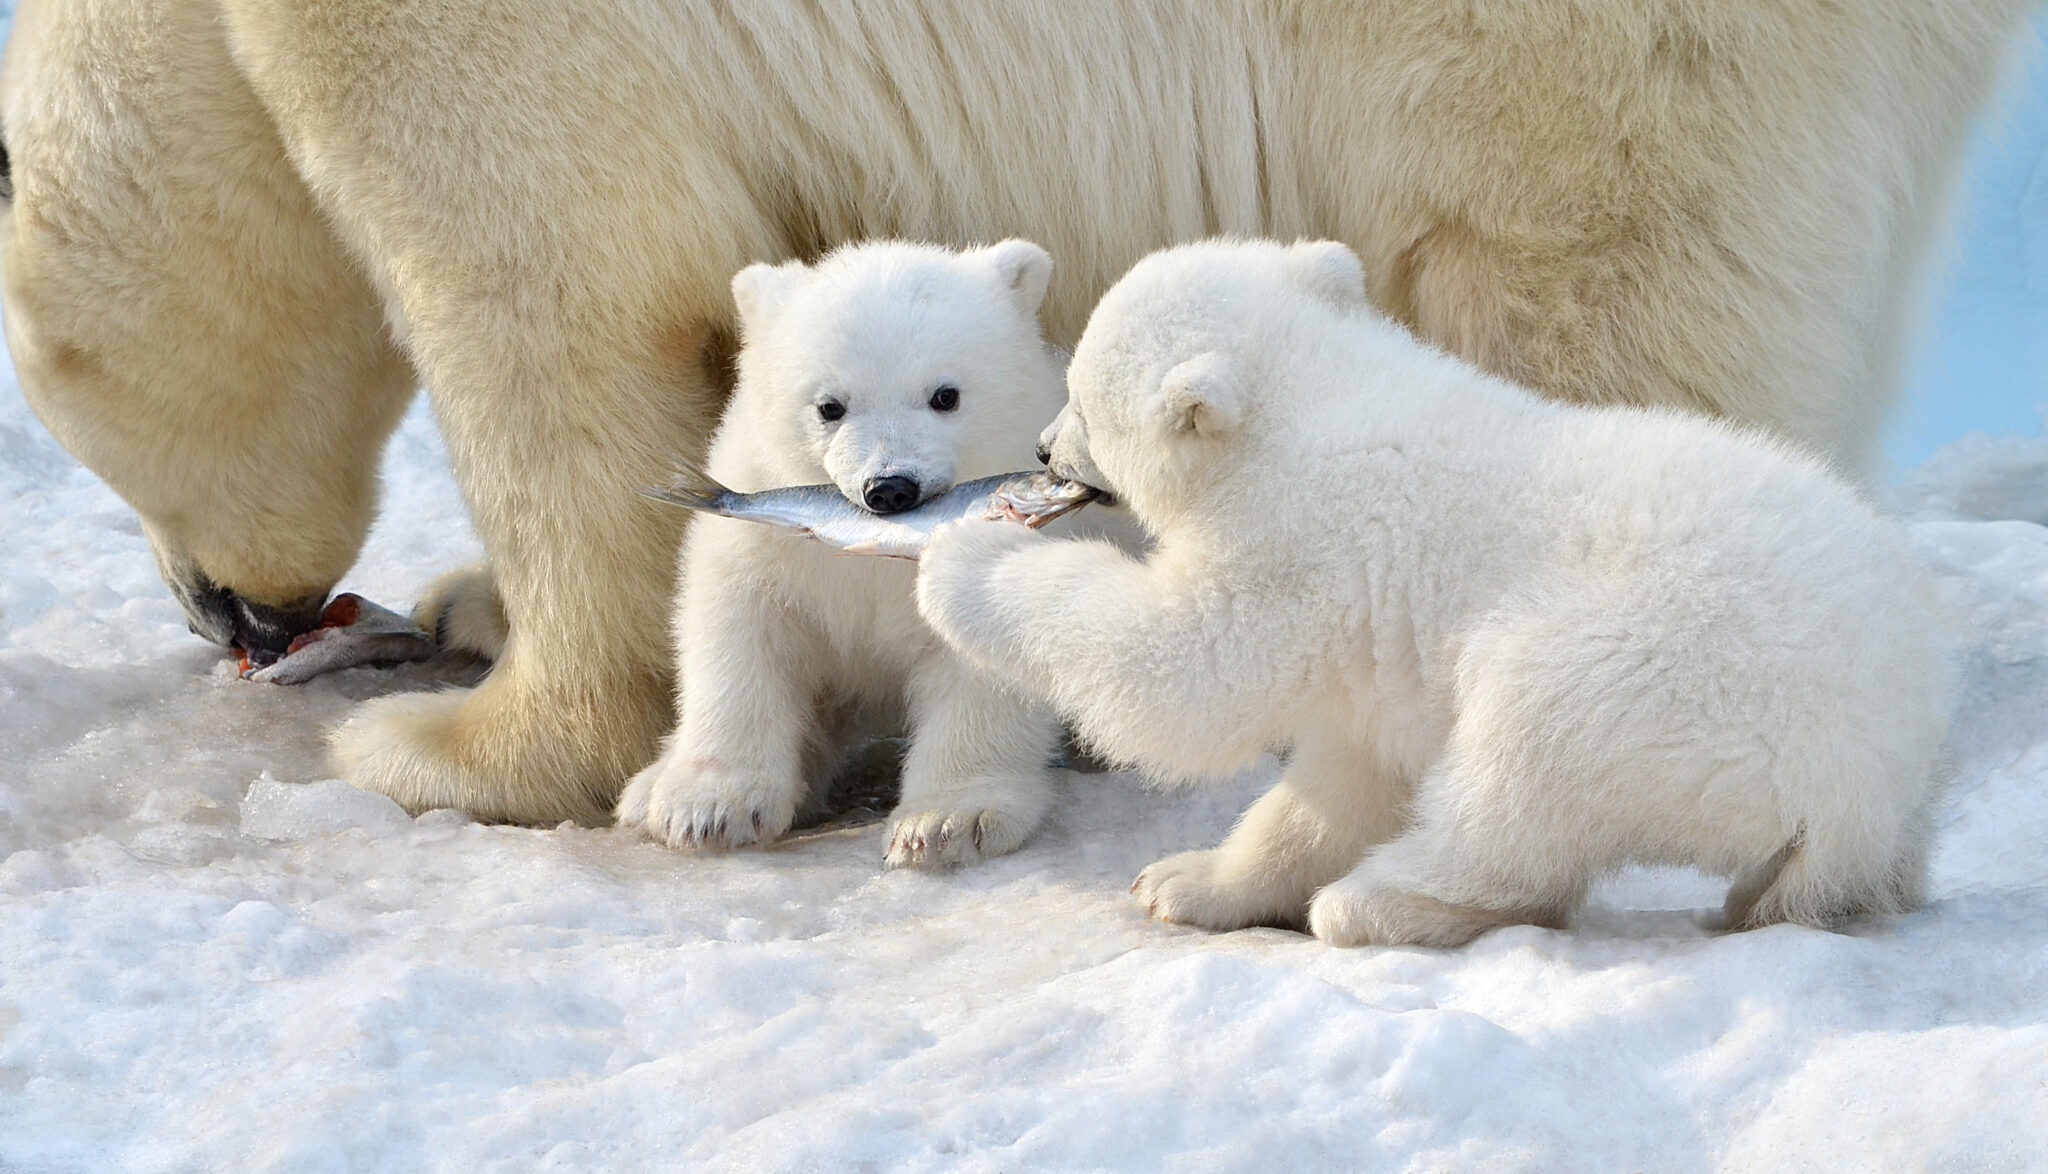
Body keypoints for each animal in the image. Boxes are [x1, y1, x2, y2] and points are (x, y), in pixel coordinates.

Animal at [615, 239, 1073, 866]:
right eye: (829, 406)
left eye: (945, 395)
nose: (890, 487)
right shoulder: (766, 535)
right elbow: (738, 628)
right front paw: (708, 807)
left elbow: (987, 654)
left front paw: (949, 820)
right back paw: (648, 786)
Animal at [915, 239, 1960, 947]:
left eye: (1083, 402)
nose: (1043, 447)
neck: (1321, 400)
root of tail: (1871, 791)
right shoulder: (1372, 647)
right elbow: (1344, 775)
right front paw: (1191, 879)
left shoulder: (1305, 545)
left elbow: (1183, 674)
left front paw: (964, 557)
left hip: (1677, 680)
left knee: (1526, 760)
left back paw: (1379, 902)